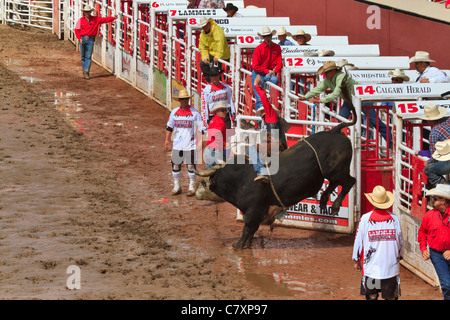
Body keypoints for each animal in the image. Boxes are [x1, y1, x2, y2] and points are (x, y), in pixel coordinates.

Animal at [195, 79, 356, 249]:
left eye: (204, 183)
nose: (197, 194)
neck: (239, 178)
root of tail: (334, 130)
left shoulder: (254, 211)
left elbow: (247, 230)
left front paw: (237, 245)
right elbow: (251, 232)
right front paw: (247, 245)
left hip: (336, 170)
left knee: (349, 181)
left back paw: (335, 205)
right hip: (331, 172)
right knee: (335, 183)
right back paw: (325, 200)